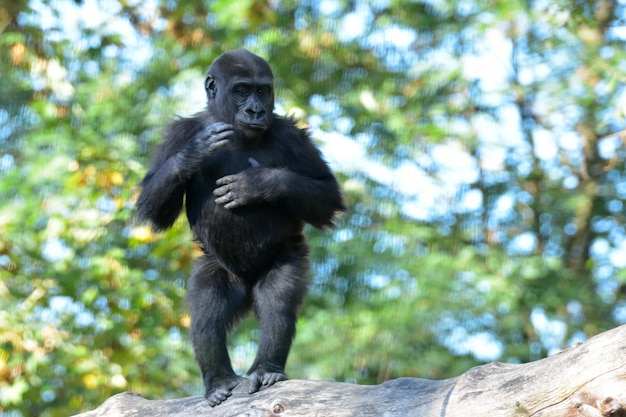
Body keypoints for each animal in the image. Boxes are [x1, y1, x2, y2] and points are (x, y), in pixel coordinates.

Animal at [135, 49, 346, 406]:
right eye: (241, 90)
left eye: (262, 90)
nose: (255, 110)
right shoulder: (178, 133)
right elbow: (152, 206)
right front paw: (193, 153)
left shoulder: (293, 135)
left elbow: (326, 193)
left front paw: (260, 183)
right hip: (217, 266)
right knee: (207, 310)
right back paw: (218, 379)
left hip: (287, 253)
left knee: (277, 300)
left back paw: (267, 368)